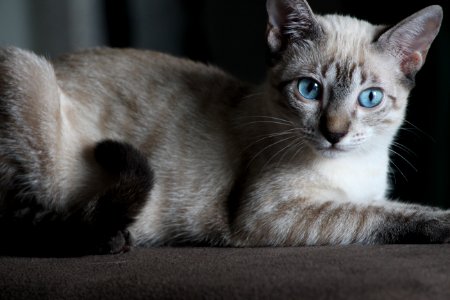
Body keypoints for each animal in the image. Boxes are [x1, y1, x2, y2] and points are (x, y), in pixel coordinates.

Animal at [0, 0, 446, 255]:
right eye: (309, 90)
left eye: (369, 98)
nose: (334, 133)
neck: (357, 168)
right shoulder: (270, 214)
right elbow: (376, 215)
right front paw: (442, 222)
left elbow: (382, 206)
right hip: (26, 70)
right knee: (26, 220)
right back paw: (111, 239)